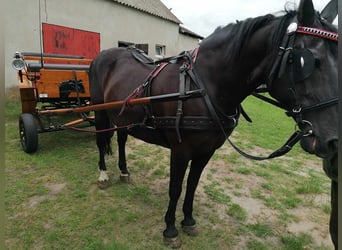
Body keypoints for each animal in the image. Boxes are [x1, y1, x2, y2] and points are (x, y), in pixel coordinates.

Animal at [89, 0, 338, 246]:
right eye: (306, 61)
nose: (333, 141)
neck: (203, 87)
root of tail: (104, 54)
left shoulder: (206, 150)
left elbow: (192, 184)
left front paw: (188, 220)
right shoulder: (180, 150)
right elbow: (175, 188)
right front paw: (170, 229)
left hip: (123, 117)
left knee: (121, 139)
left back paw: (124, 171)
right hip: (100, 113)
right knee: (101, 141)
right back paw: (103, 175)